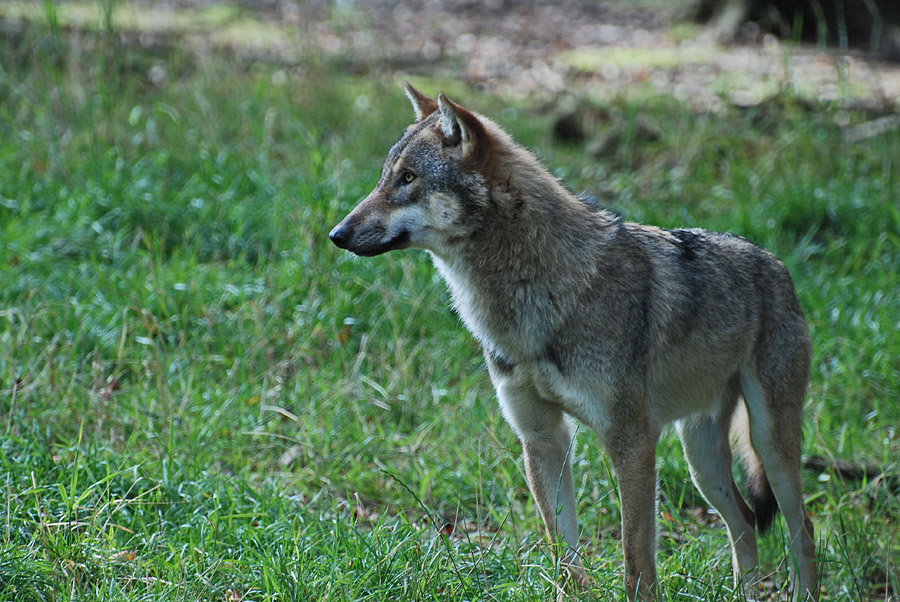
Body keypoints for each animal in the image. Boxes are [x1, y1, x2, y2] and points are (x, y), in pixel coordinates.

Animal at [329, 83, 818, 601]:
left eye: (408, 178)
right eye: (385, 177)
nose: (336, 234)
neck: (536, 297)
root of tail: (778, 266)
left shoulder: (632, 442)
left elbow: (636, 560)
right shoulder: (543, 438)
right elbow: (563, 553)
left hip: (768, 443)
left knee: (801, 528)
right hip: (700, 459)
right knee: (744, 524)